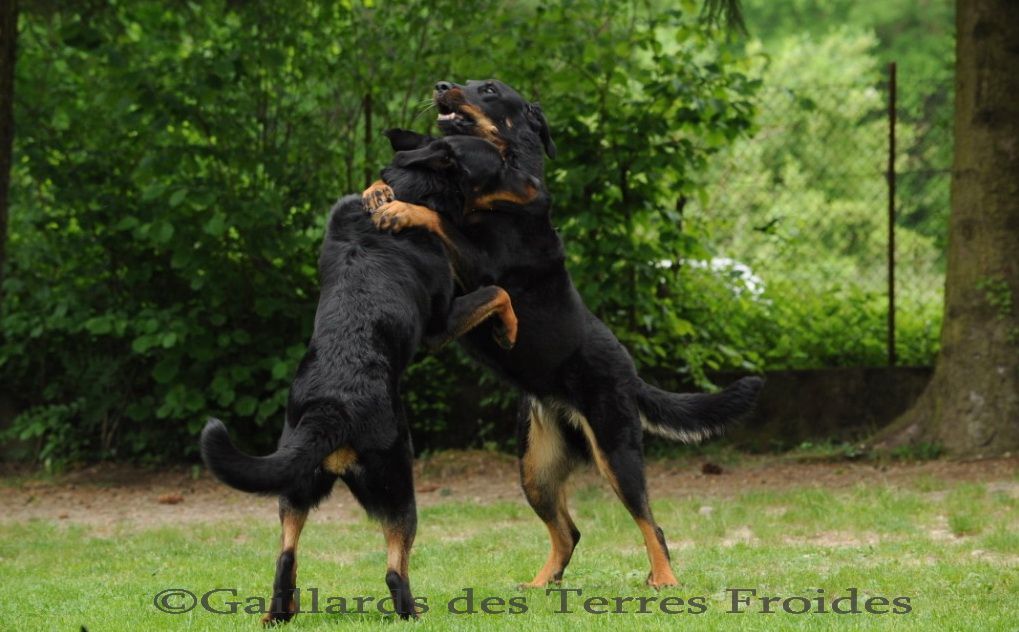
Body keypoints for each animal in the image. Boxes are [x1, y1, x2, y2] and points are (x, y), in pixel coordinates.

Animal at [194, 132, 538, 623]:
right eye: (502, 162)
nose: (536, 184)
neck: (414, 191)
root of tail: (331, 411)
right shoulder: (439, 326)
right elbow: (498, 292)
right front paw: (508, 330)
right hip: (397, 483)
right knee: (395, 568)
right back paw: (413, 614)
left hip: (294, 483)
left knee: (286, 556)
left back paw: (279, 613)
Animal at [362, 79, 762, 587]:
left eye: (488, 89)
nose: (441, 86)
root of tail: (630, 374)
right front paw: (378, 192)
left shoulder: (481, 264)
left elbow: (443, 224)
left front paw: (401, 208)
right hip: (536, 468)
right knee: (569, 531)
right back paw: (538, 586)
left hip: (615, 451)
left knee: (651, 524)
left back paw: (665, 580)